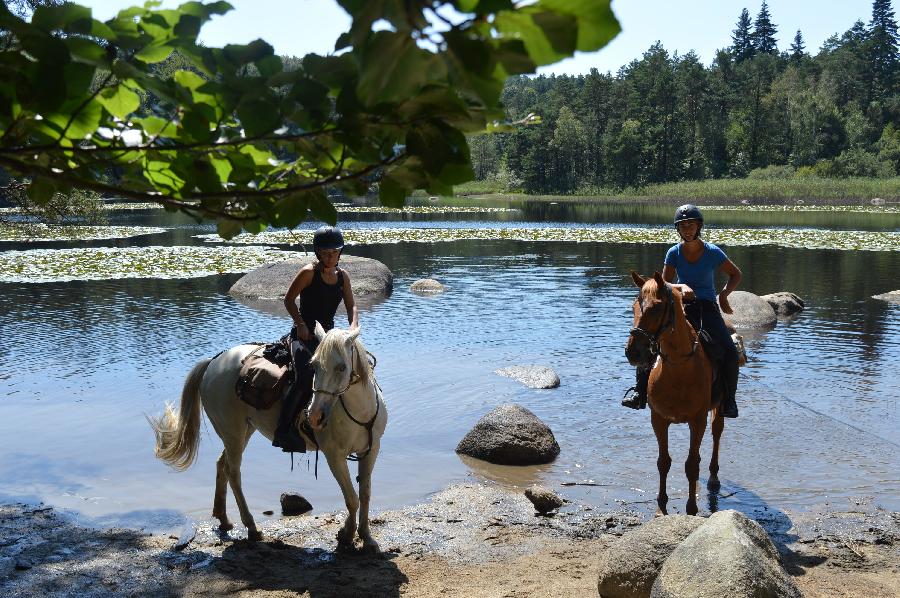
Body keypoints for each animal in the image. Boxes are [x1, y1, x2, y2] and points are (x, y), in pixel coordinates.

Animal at [148, 326, 386, 552]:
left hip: (244, 431)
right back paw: (252, 528)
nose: (315, 416)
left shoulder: (370, 451)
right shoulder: (334, 456)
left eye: (341, 367)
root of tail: (213, 362)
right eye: (313, 366)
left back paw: (224, 519)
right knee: (233, 472)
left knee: (221, 465)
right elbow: (352, 498)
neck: (359, 411)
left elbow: (365, 494)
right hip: (233, 432)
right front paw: (346, 534)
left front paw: (367, 538)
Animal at [624, 272, 724, 516]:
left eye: (655, 309)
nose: (632, 352)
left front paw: (691, 508)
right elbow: (663, 462)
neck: (679, 366)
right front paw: (661, 506)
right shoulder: (659, 419)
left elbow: (691, 464)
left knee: (716, 432)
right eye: (633, 307)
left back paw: (714, 477)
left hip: (720, 407)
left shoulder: (697, 421)